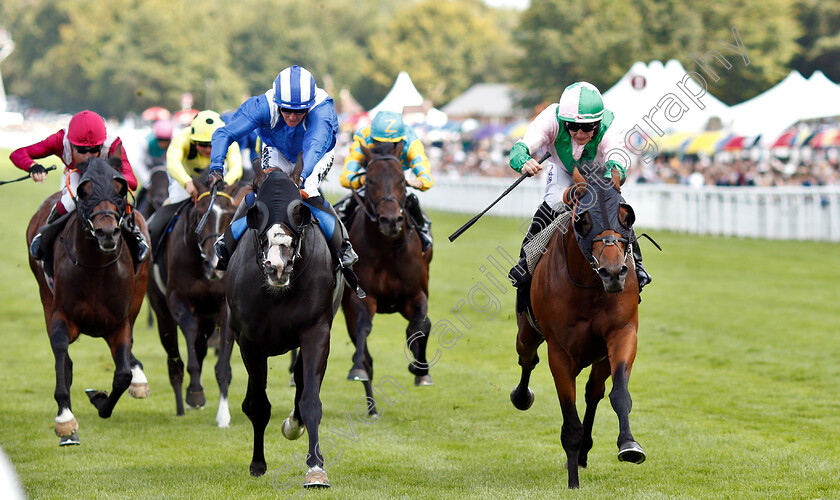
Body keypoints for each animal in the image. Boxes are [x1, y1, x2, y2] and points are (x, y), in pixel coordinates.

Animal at [25, 159, 151, 446]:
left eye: (119, 190)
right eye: (84, 191)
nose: (107, 232)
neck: (95, 268)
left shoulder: (119, 323)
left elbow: (122, 375)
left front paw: (101, 399)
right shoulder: (61, 315)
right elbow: (62, 356)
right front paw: (65, 421)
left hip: (139, 293)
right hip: (44, 294)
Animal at [146, 180, 238, 426]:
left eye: (230, 214)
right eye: (199, 215)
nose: (215, 265)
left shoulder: (224, 307)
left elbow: (222, 366)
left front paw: (223, 416)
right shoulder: (179, 300)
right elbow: (188, 332)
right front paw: (195, 392)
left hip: (207, 317)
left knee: (200, 347)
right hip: (162, 314)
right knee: (175, 362)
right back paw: (181, 405)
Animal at [225, 158, 342, 486]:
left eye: (299, 210)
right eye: (256, 210)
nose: (277, 265)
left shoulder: (317, 331)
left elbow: (311, 400)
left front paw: (316, 468)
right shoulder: (249, 341)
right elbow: (258, 406)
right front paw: (257, 464)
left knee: (302, 381)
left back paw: (294, 423)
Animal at [342, 139, 434, 408]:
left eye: (402, 180)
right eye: (370, 180)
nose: (391, 221)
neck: (387, 248)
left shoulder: (415, 295)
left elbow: (421, 326)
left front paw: (420, 369)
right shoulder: (360, 299)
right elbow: (363, 330)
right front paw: (357, 369)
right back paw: (371, 406)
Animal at [508, 168, 648, 488]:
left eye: (626, 215)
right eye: (583, 219)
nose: (613, 272)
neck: (589, 286)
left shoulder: (622, 333)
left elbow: (619, 394)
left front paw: (629, 445)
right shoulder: (559, 353)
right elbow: (569, 422)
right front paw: (573, 482)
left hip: (600, 357)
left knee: (594, 392)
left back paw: (585, 453)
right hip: (527, 331)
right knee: (527, 358)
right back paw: (521, 396)